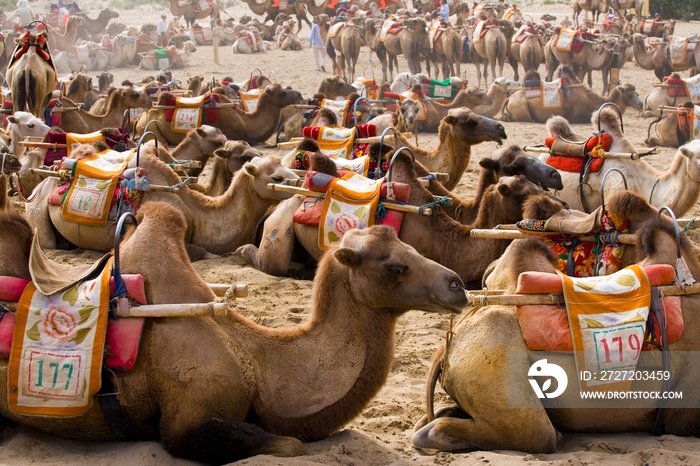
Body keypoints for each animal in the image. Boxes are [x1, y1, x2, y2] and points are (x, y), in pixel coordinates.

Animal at [136, 84, 300, 145]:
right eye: (283, 93)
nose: (298, 94)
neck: (245, 122)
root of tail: (139, 120)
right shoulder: (234, 135)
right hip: (153, 130)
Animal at [500, 66, 644, 124]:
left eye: (636, 92)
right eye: (629, 94)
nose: (641, 104)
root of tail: (509, 98)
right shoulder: (576, 115)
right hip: (522, 108)